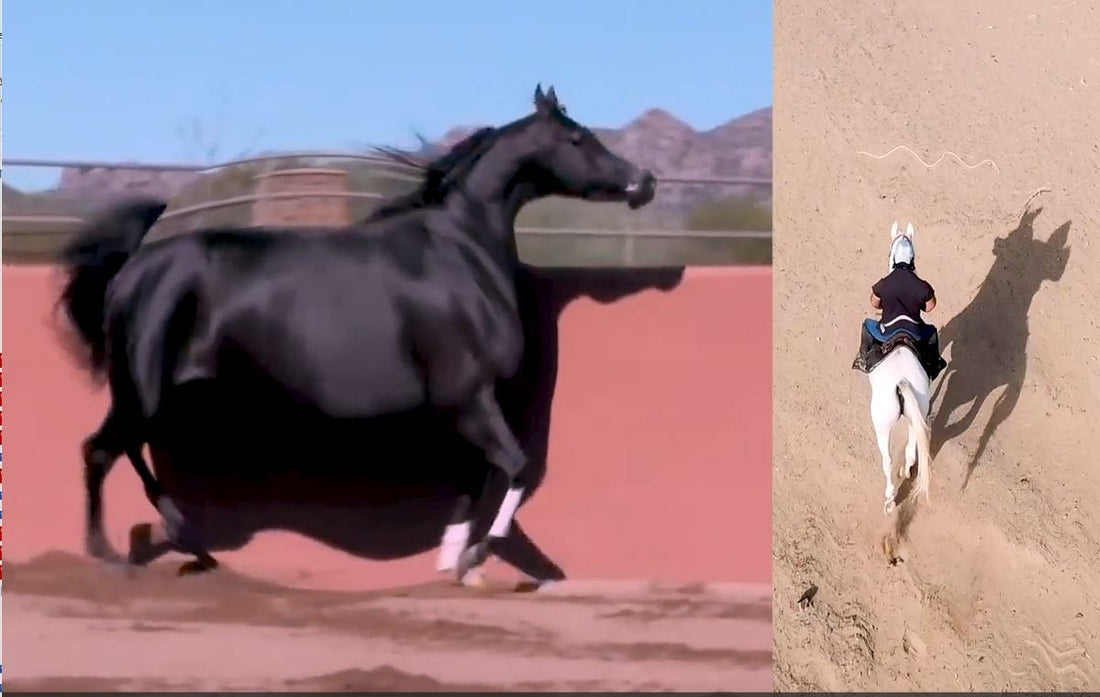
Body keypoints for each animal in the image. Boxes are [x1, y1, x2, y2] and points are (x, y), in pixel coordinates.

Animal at [56, 83, 658, 584]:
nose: (644, 182)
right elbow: (514, 468)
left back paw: (186, 545)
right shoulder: (468, 394)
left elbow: (475, 477)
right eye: (577, 137)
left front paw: (452, 562)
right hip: (142, 392)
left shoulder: (465, 406)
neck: (460, 254)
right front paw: (475, 557)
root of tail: (134, 268)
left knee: (117, 451)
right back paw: (120, 548)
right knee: (101, 451)